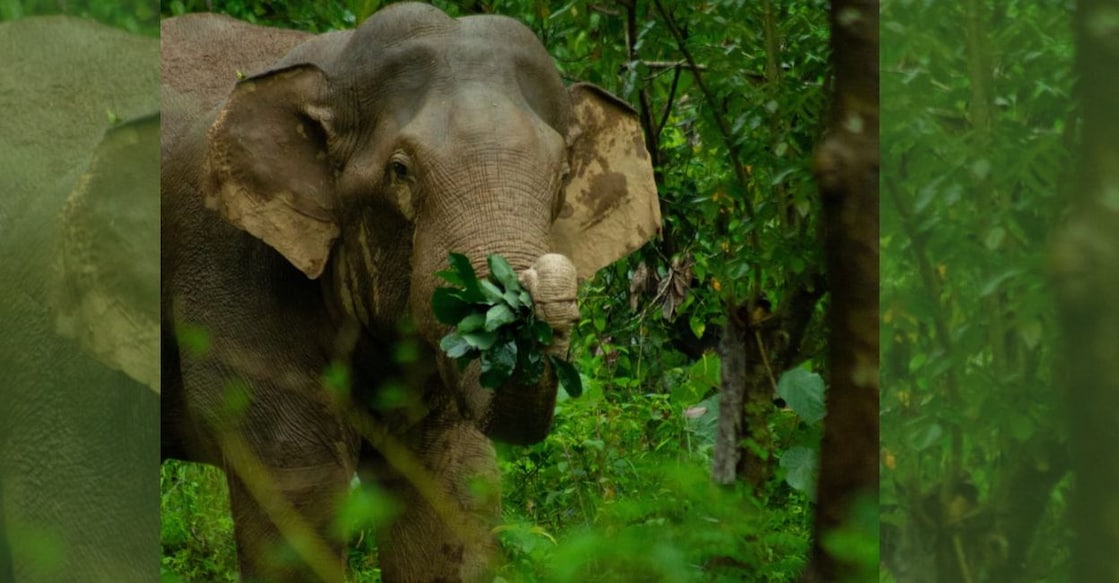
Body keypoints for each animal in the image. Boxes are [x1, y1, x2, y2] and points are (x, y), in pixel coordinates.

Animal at [161, 3, 661, 581]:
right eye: (400, 172)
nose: (538, 282)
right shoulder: (237, 269)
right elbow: (298, 487)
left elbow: (449, 486)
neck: (332, 68)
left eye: (562, 177)